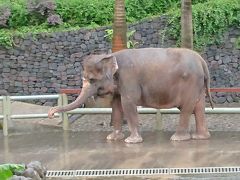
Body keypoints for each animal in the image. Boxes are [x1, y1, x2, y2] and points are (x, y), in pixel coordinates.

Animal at [48, 47, 214, 143]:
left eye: (92, 80)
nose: (51, 114)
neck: (110, 56)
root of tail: (202, 61)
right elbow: (116, 105)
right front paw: (113, 138)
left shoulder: (128, 77)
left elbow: (127, 104)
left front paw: (131, 141)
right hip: (197, 85)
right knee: (199, 107)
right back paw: (201, 137)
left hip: (190, 83)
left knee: (187, 108)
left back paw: (178, 139)